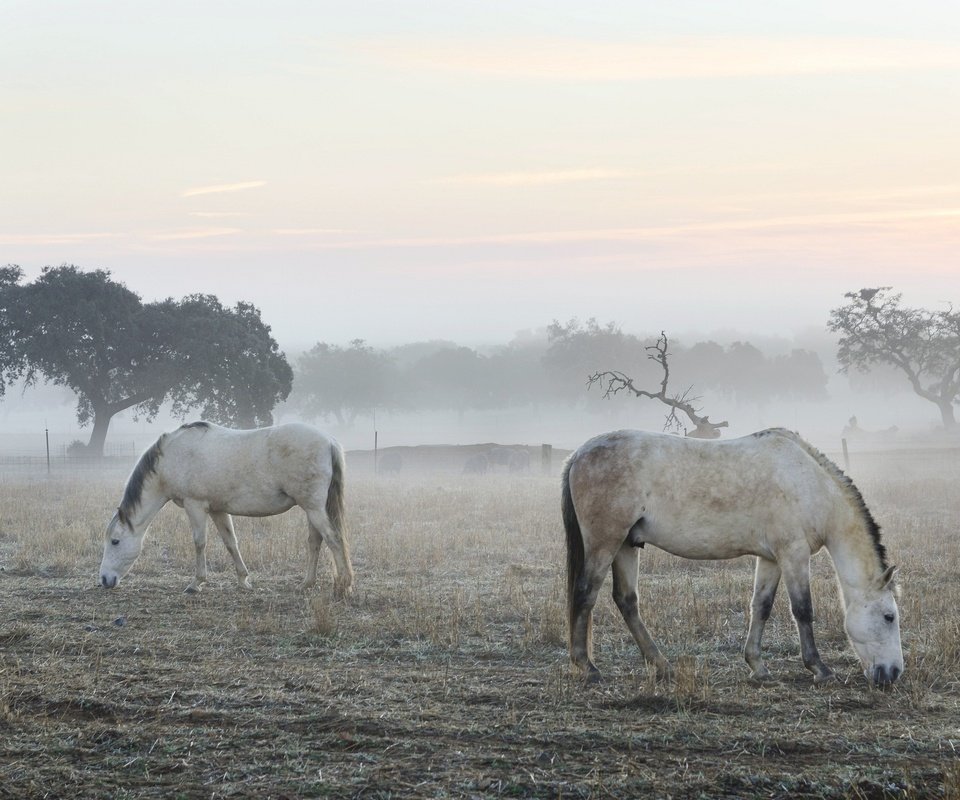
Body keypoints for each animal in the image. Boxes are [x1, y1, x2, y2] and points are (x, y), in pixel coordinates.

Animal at [99, 422, 354, 596]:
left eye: (115, 541)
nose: (104, 579)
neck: (172, 457)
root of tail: (328, 440)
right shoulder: (217, 510)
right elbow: (231, 543)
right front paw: (243, 580)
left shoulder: (195, 505)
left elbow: (199, 543)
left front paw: (196, 583)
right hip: (312, 509)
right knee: (315, 542)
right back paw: (307, 583)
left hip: (314, 508)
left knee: (333, 539)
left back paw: (343, 585)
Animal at [560, 432, 904, 688]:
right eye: (889, 616)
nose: (894, 673)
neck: (810, 485)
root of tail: (578, 454)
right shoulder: (793, 553)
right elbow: (803, 610)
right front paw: (819, 668)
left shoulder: (771, 558)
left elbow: (761, 607)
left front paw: (757, 666)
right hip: (605, 543)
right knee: (585, 594)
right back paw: (586, 666)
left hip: (626, 545)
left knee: (627, 601)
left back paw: (662, 666)